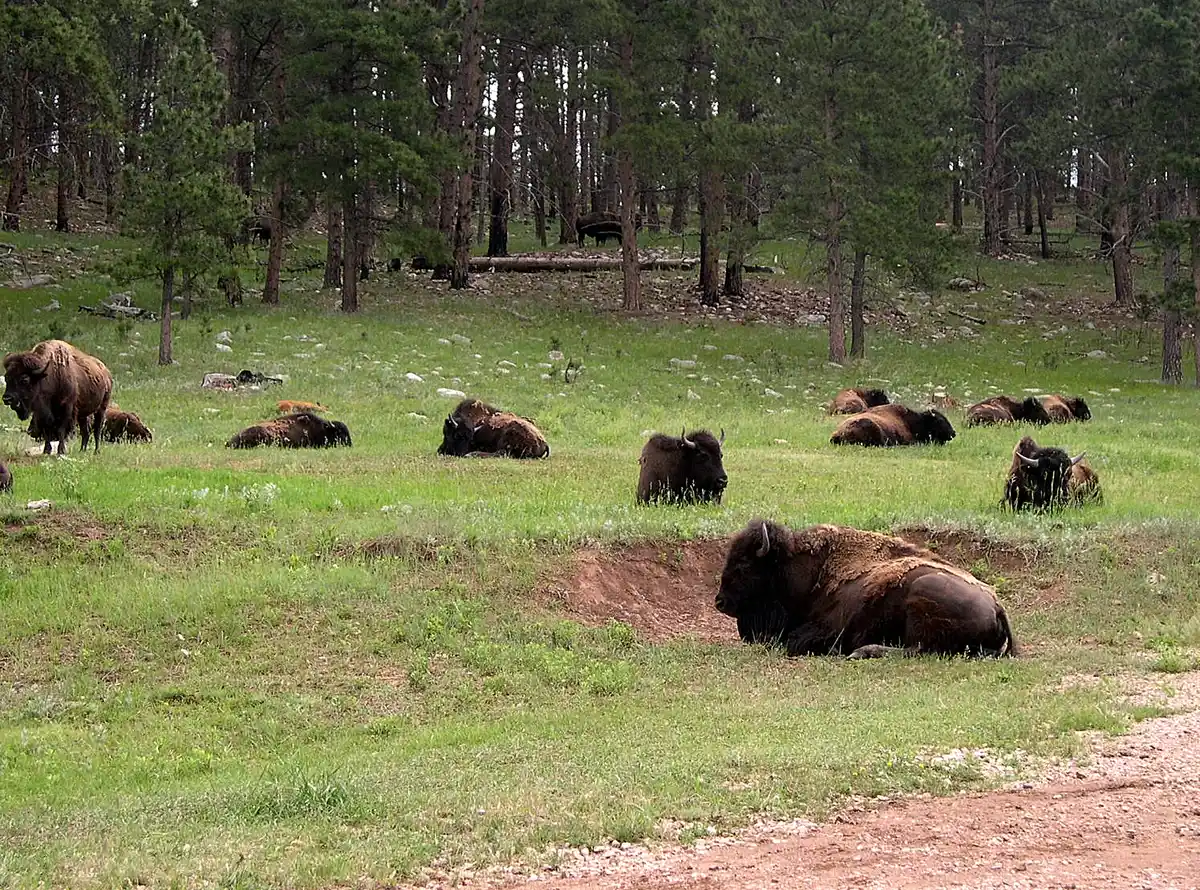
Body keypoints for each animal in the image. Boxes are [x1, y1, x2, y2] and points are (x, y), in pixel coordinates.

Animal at [715, 520, 1017, 658]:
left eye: (744, 565)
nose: (720, 602)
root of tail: (997, 606)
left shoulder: (827, 630)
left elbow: (793, 641)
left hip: (921, 599)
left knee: (915, 650)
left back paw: (863, 651)